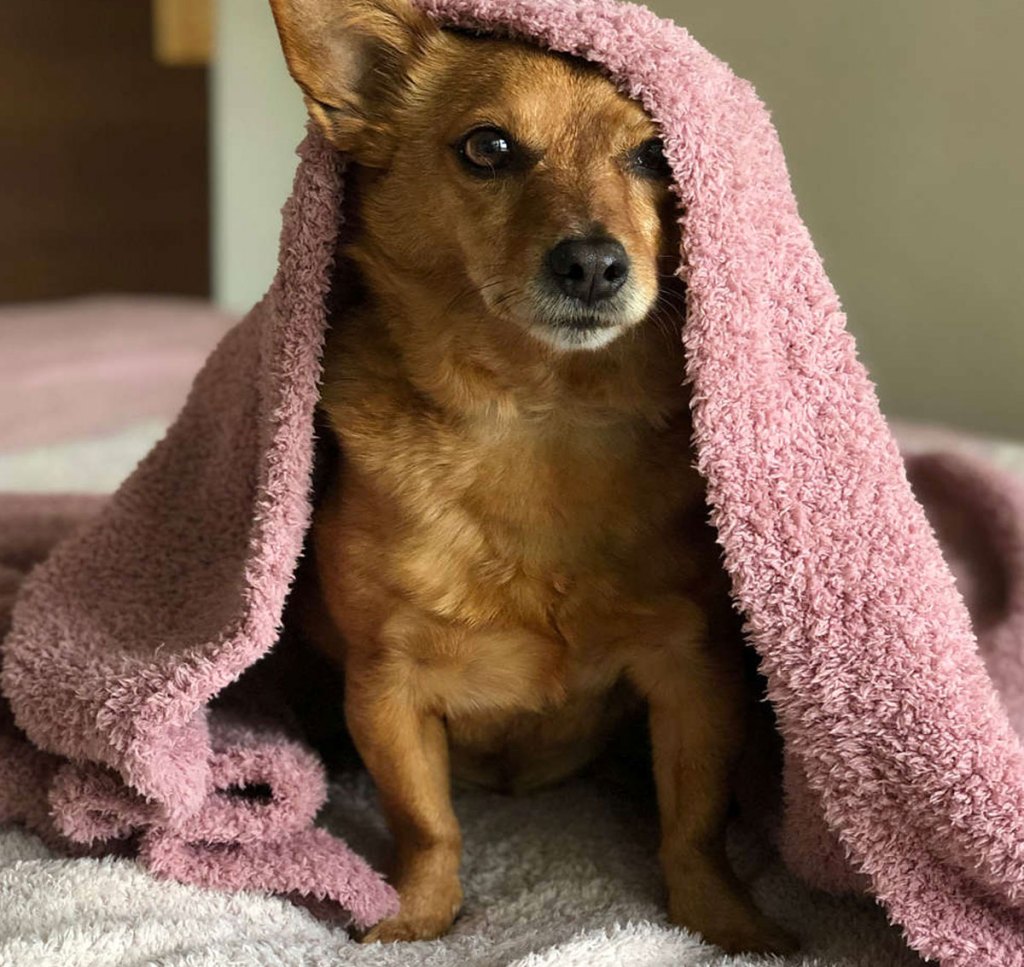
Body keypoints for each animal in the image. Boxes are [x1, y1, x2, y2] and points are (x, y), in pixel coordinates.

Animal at [270, 0, 790, 950]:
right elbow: (426, 821)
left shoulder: (696, 669)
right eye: (489, 148)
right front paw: (417, 916)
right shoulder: (386, 685)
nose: (591, 263)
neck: (542, 417)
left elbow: (694, 825)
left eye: (659, 156)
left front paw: (729, 924)